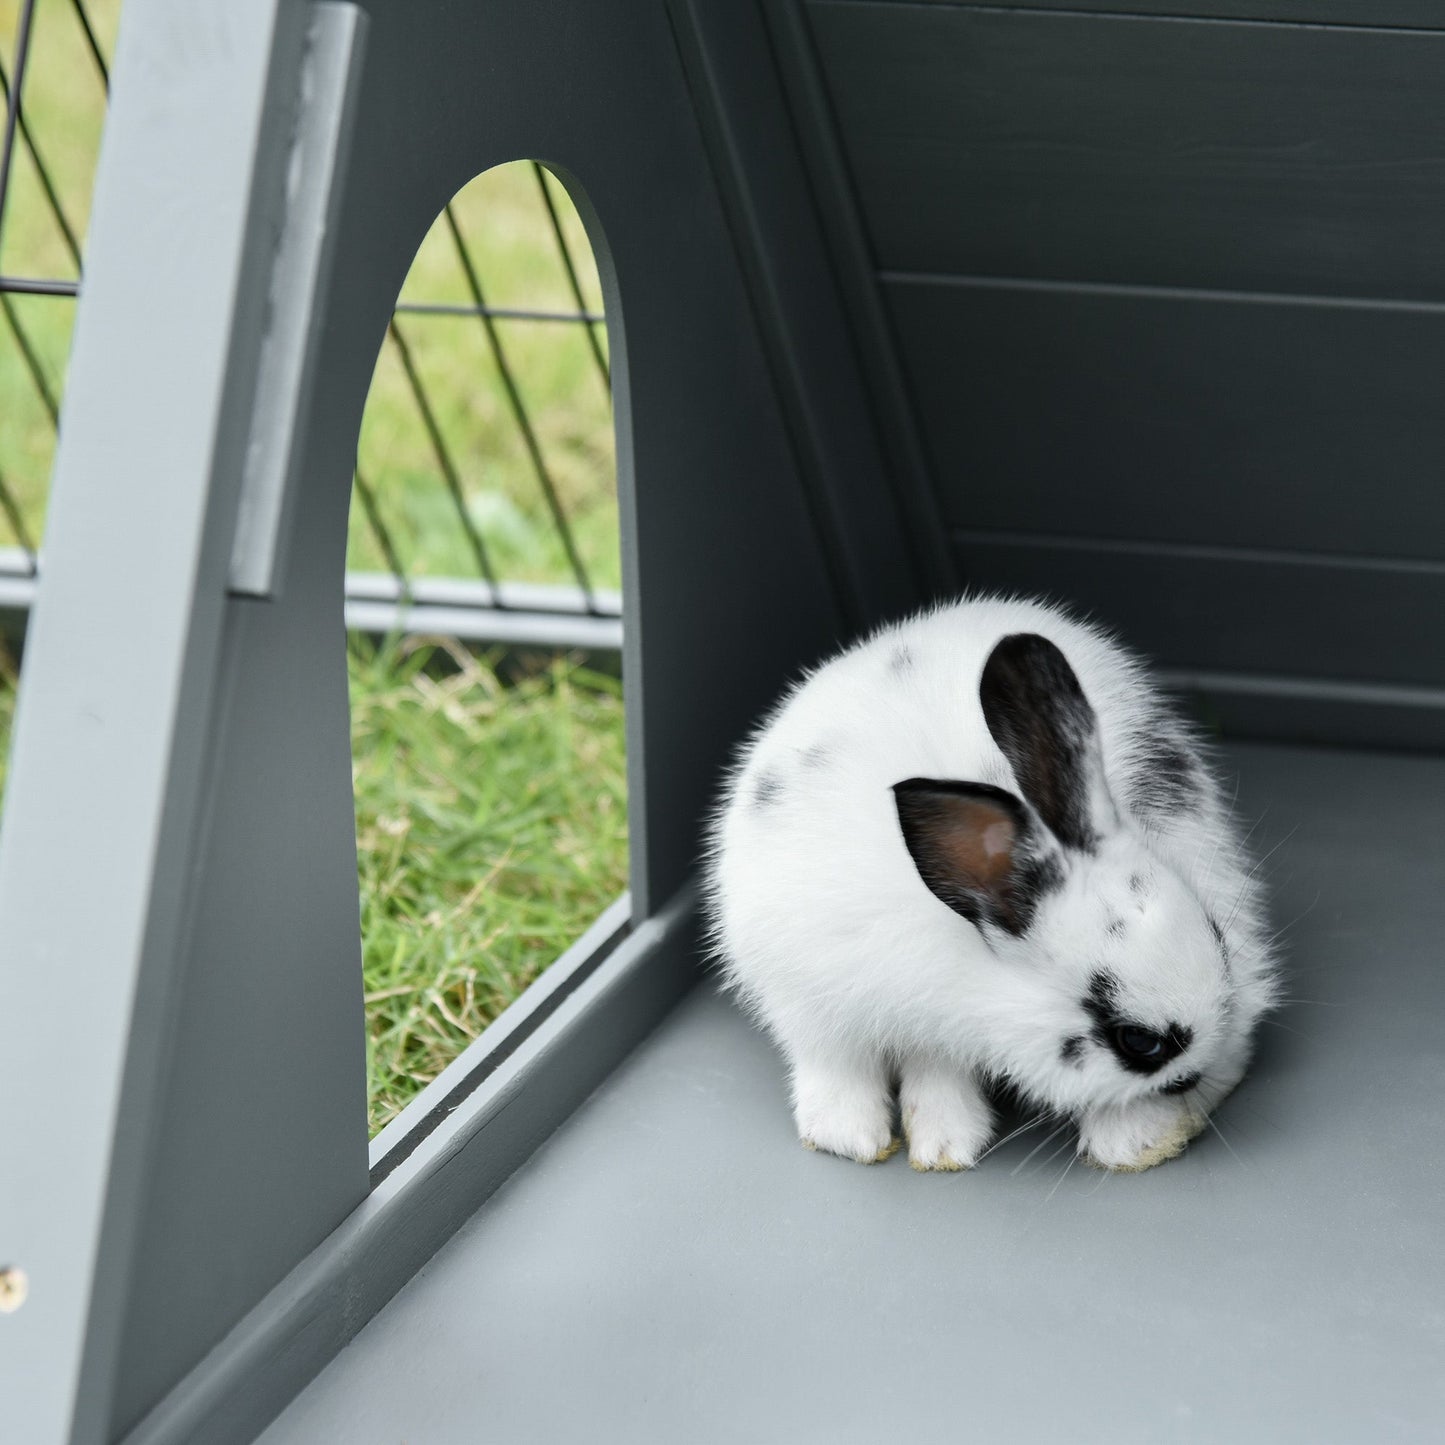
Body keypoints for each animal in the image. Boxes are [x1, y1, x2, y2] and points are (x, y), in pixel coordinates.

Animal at [705, 598, 1283, 1173]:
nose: (1201, 1071)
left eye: (1215, 936)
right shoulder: (825, 1000)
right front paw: (884, 1143)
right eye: (1138, 1041)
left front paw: (945, 1146)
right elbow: (873, 1063)